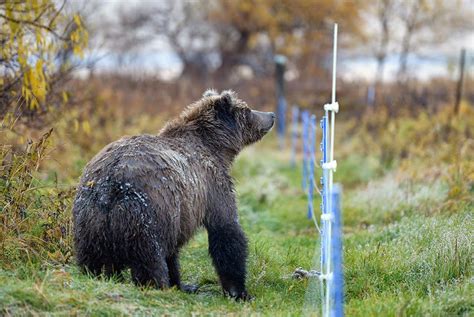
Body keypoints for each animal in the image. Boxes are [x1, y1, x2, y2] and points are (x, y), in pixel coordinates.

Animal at [72, 89, 276, 298]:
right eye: (247, 109)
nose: (271, 115)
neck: (216, 148)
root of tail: (111, 182)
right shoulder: (211, 185)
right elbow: (226, 228)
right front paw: (239, 291)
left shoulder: (182, 211)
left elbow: (174, 253)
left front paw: (180, 283)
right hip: (147, 213)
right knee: (150, 258)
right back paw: (155, 284)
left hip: (89, 220)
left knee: (92, 257)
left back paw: (97, 274)